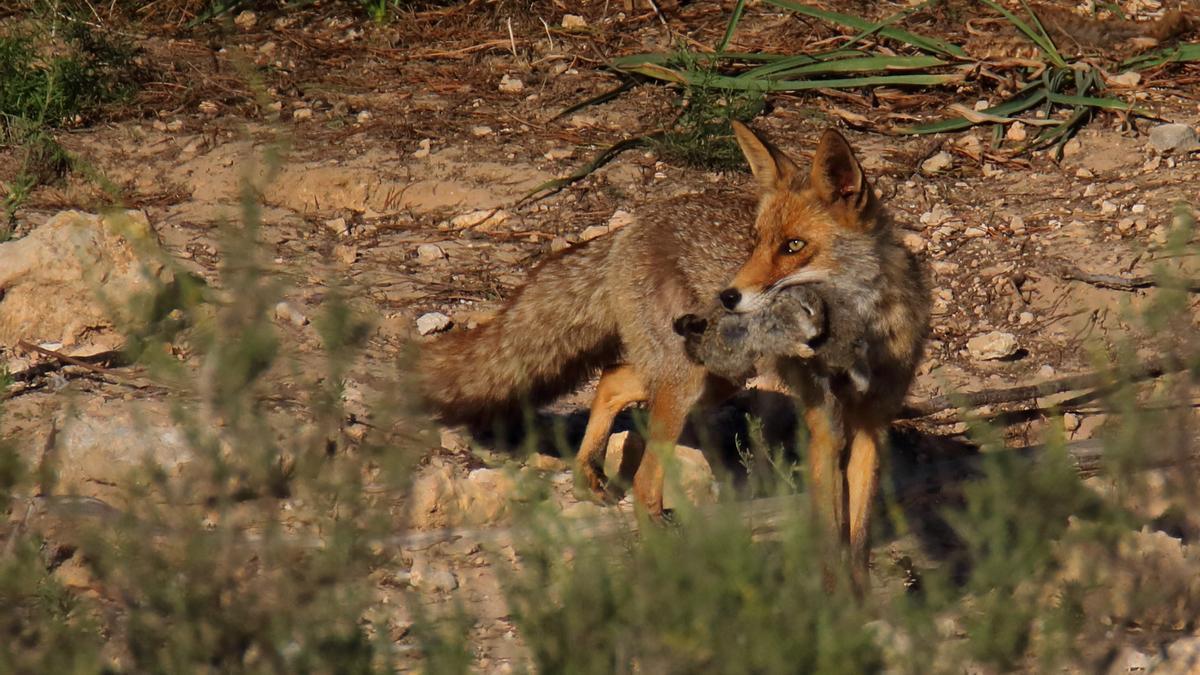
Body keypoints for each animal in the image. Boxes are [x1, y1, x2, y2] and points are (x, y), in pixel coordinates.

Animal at [417, 120, 931, 588]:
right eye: (755, 241)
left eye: (794, 246)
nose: (727, 297)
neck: (860, 341)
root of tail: (632, 225)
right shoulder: (823, 422)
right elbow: (830, 530)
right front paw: (832, 602)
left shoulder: (872, 425)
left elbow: (858, 536)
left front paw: (860, 601)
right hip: (688, 384)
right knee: (644, 476)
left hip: (714, 378)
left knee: (614, 379)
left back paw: (587, 474)